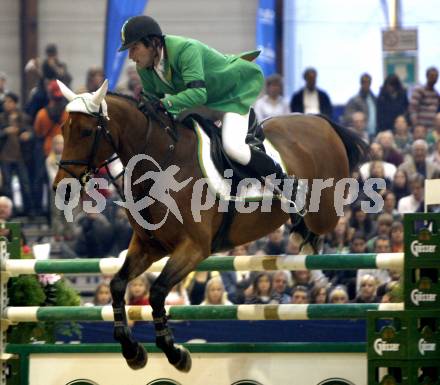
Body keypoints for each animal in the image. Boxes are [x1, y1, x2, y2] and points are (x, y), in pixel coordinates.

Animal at [52, 80, 368, 372]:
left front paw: (175, 353)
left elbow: (157, 291)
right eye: (63, 130)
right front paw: (132, 351)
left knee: (326, 219)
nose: (61, 188)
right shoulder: (149, 246)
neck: (163, 163)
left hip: (326, 210)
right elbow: (118, 284)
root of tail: (320, 122)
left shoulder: (193, 248)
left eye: (86, 132)